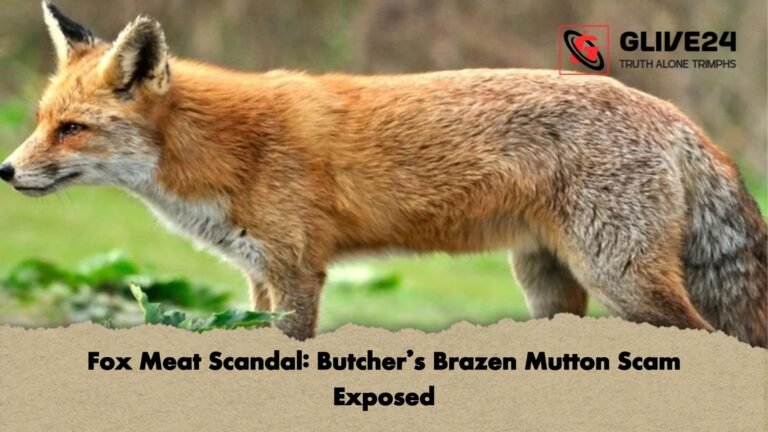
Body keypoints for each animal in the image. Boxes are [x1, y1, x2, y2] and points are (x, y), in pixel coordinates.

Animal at [1, 2, 765, 345]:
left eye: (72, 129)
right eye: (40, 120)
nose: (5, 171)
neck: (222, 149)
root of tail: (674, 114)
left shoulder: (296, 273)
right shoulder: (258, 275)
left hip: (621, 278)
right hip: (548, 282)